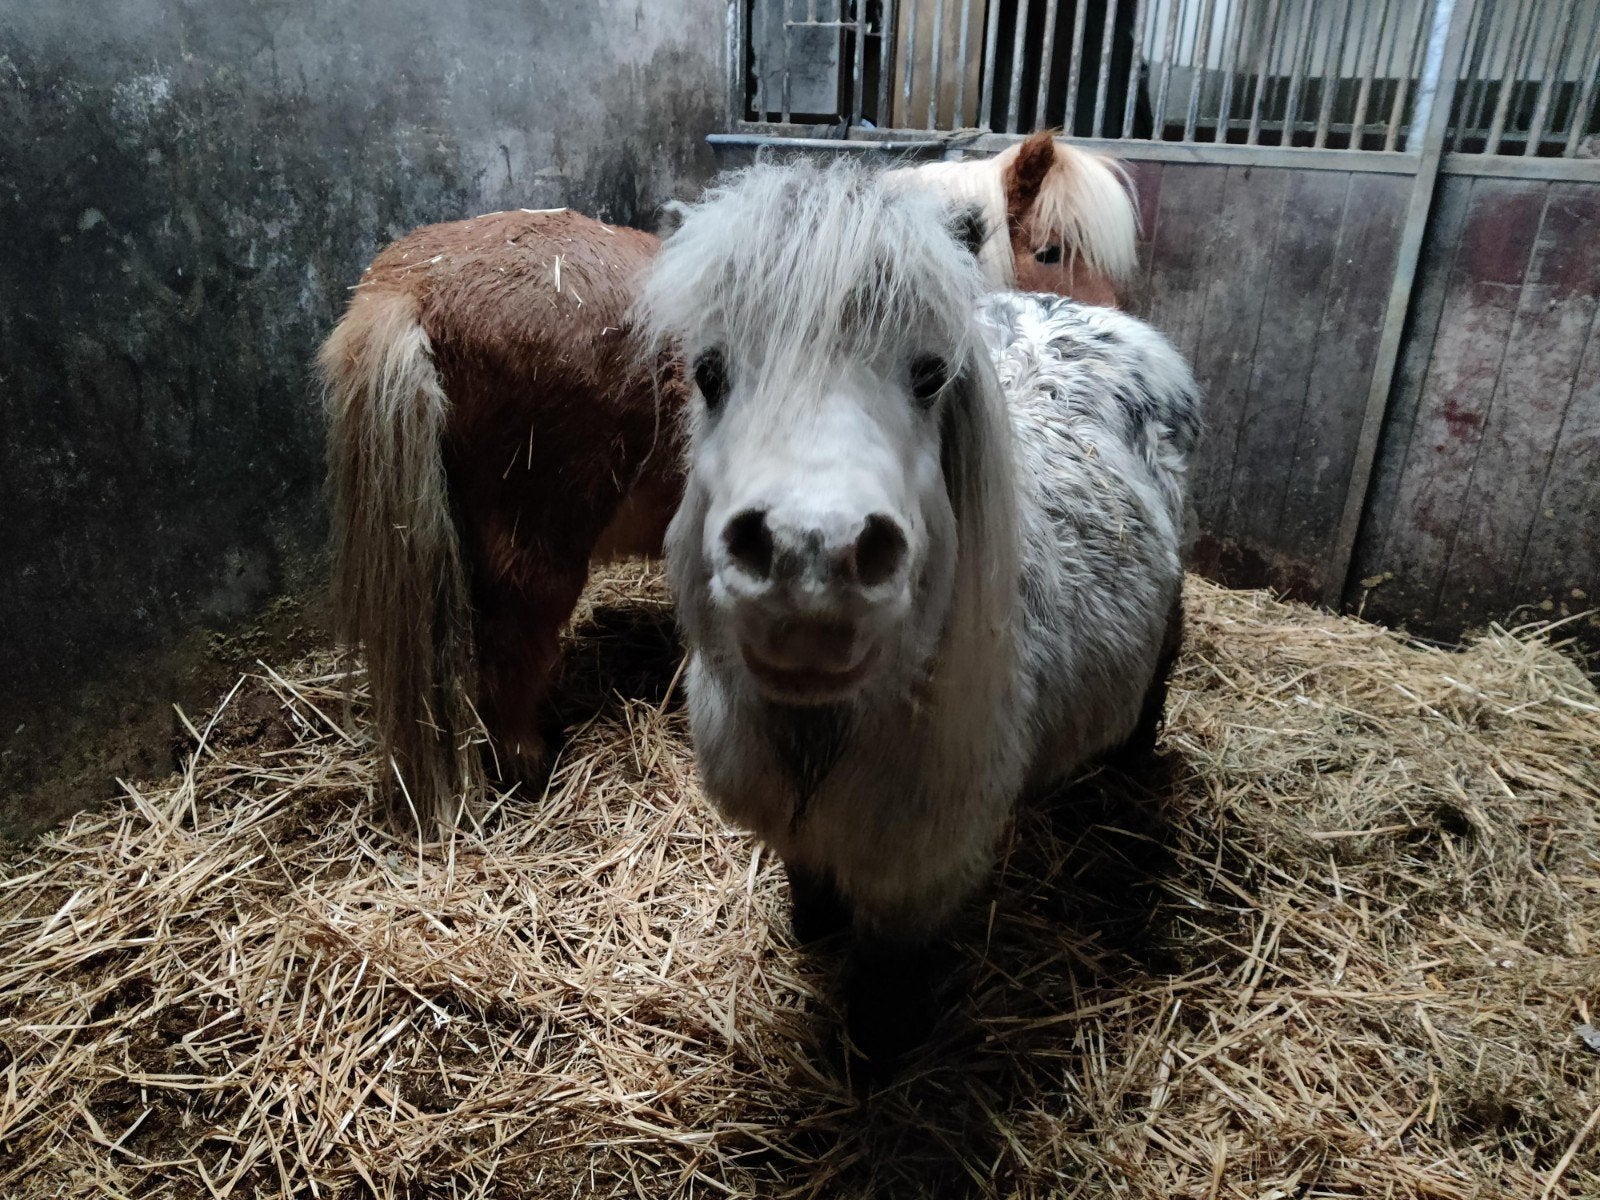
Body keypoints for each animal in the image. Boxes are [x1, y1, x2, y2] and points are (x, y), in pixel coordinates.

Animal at [319, 132, 1139, 832]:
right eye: (1051, 250)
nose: (1117, 336)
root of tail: (409, 285)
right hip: (537, 546)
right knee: (514, 645)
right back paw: (527, 759)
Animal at [637, 158, 1199, 1067]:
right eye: (709, 372)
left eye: (931, 375)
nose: (810, 562)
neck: (827, 735)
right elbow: (812, 889)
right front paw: (813, 931)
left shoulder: (920, 874)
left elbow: (888, 979)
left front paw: (881, 1051)